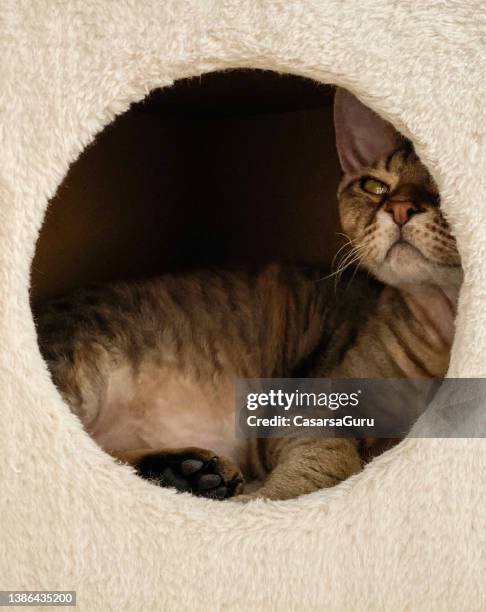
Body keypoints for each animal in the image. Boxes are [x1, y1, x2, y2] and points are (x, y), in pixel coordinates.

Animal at [36, 89, 462, 502]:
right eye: (376, 187)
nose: (400, 208)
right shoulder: (308, 410)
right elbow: (327, 462)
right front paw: (267, 502)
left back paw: (188, 473)